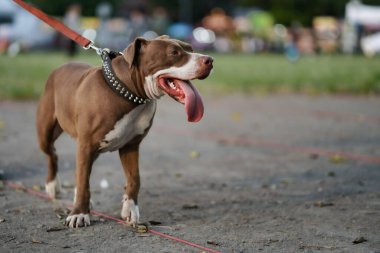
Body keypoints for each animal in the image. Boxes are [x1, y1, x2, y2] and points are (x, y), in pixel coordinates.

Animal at [36, 35, 214, 227]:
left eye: (190, 48)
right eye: (174, 52)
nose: (210, 60)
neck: (130, 94)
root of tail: (60, 67)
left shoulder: (130, 146)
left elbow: (134, 178)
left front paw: (130, 209)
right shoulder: (86, 145)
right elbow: (84, 182)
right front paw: (79, 214)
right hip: (47, 134)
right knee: (53, 154)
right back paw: (53, 185)